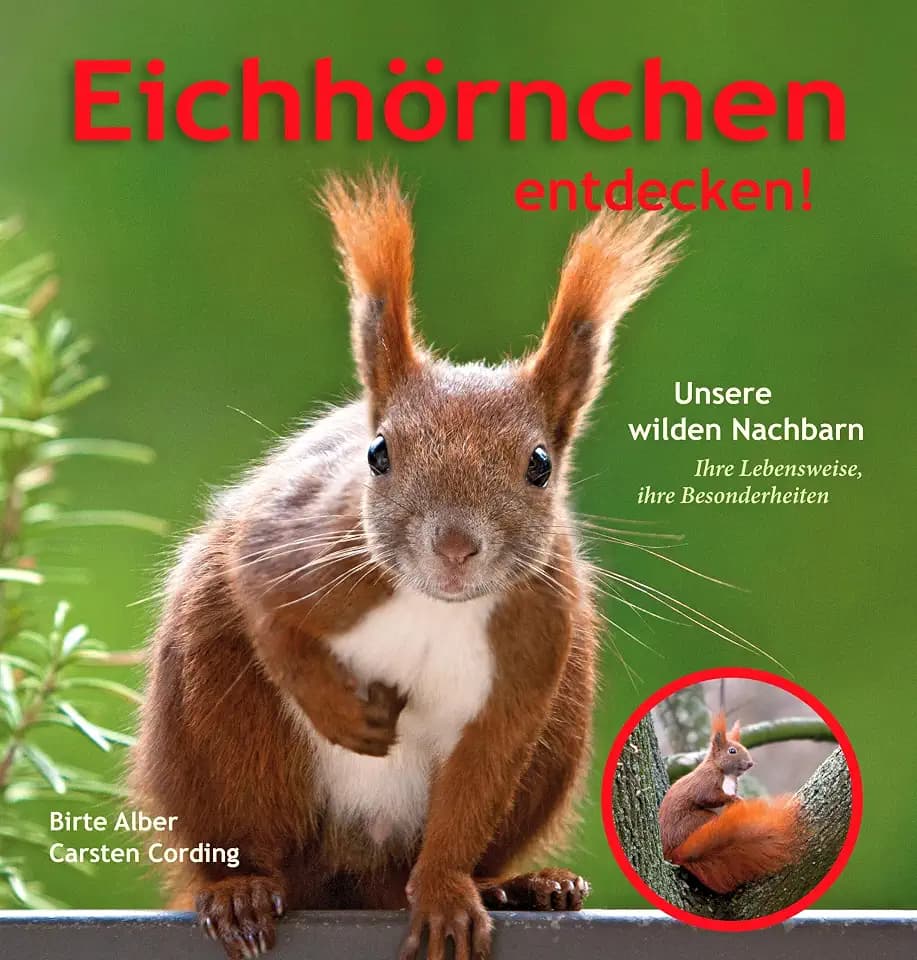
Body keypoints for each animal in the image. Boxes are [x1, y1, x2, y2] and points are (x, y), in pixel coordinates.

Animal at [131, 169, 682, 960]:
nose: (453, 547)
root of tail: (354, 874)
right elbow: (261, 600)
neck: (434, 604)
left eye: (540, 464)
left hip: (557, 731)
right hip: (223, 734)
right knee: (246, 838)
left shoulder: (534, 642)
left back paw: (517, 885)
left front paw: (449, 896)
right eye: (378, 453)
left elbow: (483, 768)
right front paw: (341, 713)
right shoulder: (297, 546)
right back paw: (240, 893)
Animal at [658, 712, 803, 895]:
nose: (750, 763)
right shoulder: (706, 780)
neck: (727, 774)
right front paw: (735, 799)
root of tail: (674, 853)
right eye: (732, 751)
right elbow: (706, 796)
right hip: (695, 821)